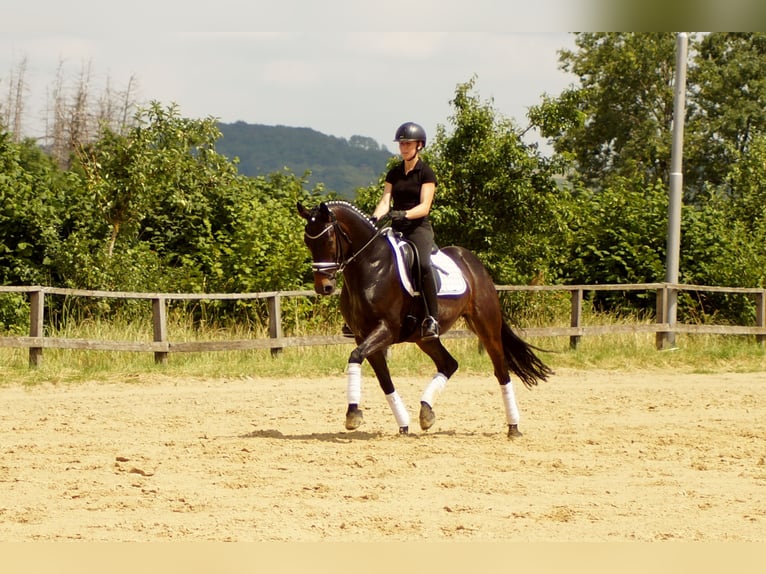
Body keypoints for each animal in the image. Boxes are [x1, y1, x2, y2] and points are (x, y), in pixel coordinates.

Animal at [296, 200, 556, 438]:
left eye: (329, 240)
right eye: (308, 242)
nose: (324, 287)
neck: (371, 266)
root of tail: (473, 262)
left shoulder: (386, 329)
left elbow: (356, 357)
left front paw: (352, 415)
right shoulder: (362, 334)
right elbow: (383, 378)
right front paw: (402, 424)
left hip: (486, 326)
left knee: (501, 370)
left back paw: (513, 427)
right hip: (425, 338)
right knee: (449, 364)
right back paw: (426, 413)